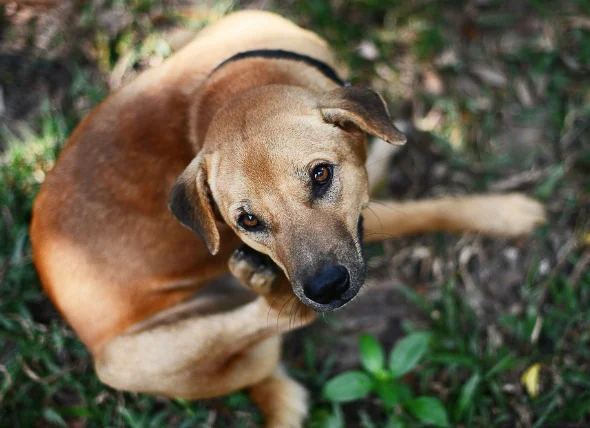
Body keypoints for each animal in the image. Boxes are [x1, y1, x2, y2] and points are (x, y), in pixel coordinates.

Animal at [27, 10, 544, 428]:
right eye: (247, 220)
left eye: (321, 174)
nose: (326, 288)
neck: (235, 84)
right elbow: (423, 210)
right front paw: (503, 212)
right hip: (122, 359)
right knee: (276, 319)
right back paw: (270, 290)